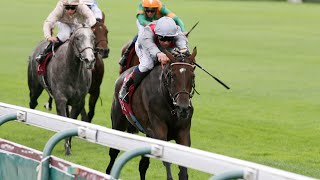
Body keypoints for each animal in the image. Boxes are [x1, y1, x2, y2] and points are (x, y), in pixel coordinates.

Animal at [28, 24, 95, 155]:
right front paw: (67, 147)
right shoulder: (60, 100)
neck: (72, 72)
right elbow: (64, 122)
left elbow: (71, 122)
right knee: (32, 102)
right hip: (35, 87)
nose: (89, 60)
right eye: (78, 38)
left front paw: (68, 146)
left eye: (93, 38)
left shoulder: (78, 102)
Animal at [107, 47, 198, 179]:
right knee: (113, 153)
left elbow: (183, 170)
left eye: (192, 76)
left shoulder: (183, 132)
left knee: (143, 165)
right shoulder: (159, 130)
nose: (183, 108)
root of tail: (121, 77)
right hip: (118, 122)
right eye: (172, 76)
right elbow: (167, 163)